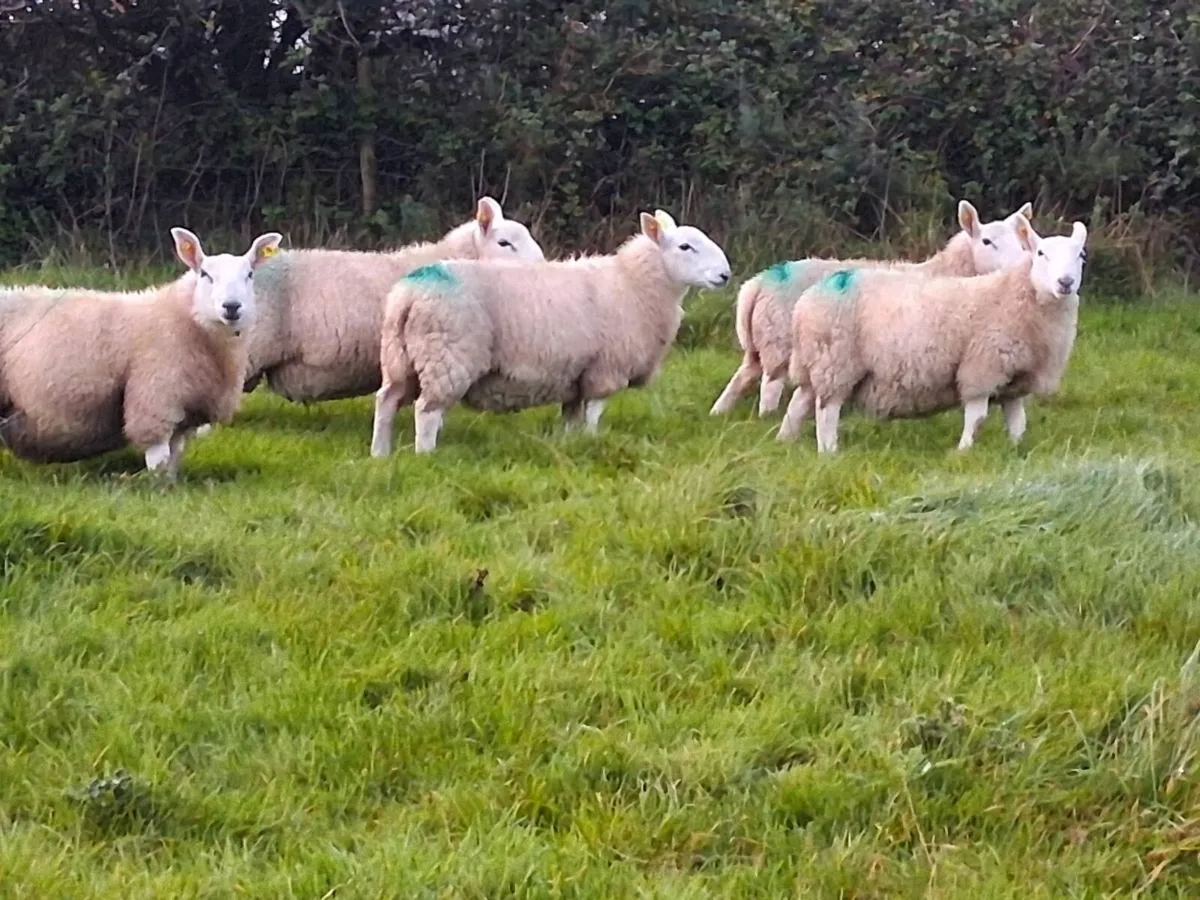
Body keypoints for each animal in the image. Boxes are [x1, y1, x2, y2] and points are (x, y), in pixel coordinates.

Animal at [0, 227, 281, 478]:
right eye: (205, 274)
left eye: (250, 274)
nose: (231, 307)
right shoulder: (154, 398)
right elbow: (159, 458)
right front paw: (157, 491)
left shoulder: (185, 410)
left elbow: (174, 457)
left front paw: (172, 486)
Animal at [370, 209, 732, 456]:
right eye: (685, 246)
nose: (726, 275)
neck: (634, 284)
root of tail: (408, 293)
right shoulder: (606, 368)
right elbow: (594, 413)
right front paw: (593, 441)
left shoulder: (575, 376)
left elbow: (571, 417)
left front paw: (571, 443)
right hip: (447, 357)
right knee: (426, 412)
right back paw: (425, 455)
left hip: (398, 358)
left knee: (386, 402)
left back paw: (380, 455)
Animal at [709, 200, 1034, 418]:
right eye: (986, 241)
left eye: (1021, 240)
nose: (1019, 264)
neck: (947, 270)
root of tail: (757, 283)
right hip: (779, 346)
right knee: (769, 387)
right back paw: (767, 417)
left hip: (760, 346)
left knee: (742, 378)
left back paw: (720, 413)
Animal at [776, 214, 1088, 453]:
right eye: (1041, 253)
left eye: (1080, 256)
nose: (1065, 282)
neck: (1012, 293)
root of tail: (808, 300)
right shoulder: (981, 368)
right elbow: (977, 417)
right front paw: (964, 451)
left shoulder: (1016, 377)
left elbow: (1017, 420)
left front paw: (1017, 448)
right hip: (835, 362)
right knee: (826, 411)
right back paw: (829, 451)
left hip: (815, 363)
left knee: (798, 403)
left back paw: (786, 441)